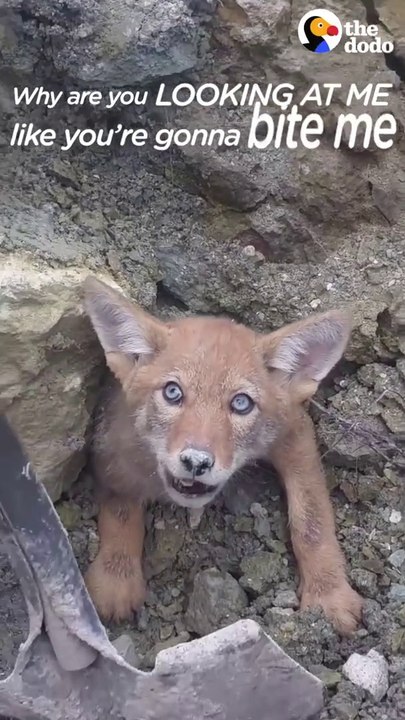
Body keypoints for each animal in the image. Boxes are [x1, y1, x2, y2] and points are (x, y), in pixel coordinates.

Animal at [82, 276, 363, 636]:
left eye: (241, 403)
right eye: (172, 392)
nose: (196, 462)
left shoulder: (295, 434)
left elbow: (311, 520)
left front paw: (328, 592)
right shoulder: (111, 446)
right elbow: (120, 511)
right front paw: (116, 576)